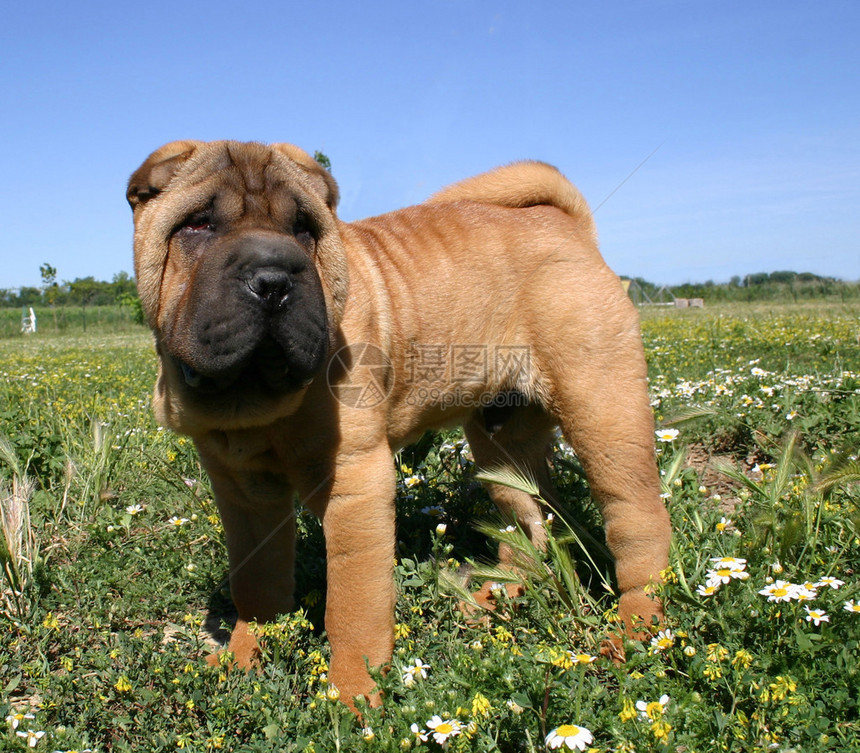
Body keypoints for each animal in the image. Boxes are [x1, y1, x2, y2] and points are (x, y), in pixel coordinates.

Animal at [127, 141, 672, 704]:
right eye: (197, 225)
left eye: (304, 229)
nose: (274, 279)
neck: (255, 400)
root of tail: (570, 227)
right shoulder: (242, 492)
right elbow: (255, 581)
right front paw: (241, 662)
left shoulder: (354, 483)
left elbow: (353, 605)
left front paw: (351, 696)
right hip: (501, 446)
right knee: (529, 524)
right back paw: (491, 601)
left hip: (602, 410)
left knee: (638, 522)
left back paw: (631, 634)